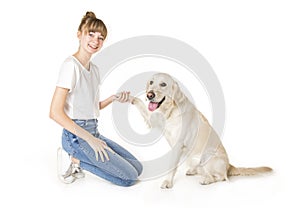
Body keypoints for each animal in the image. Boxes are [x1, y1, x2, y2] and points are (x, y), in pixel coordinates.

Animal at [131, 72, 272, 188]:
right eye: (151, 82)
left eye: (163, 84)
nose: (149, 95)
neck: (170, 110)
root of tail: (229, 165)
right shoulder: (154, 120)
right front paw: (131, 98)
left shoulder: (178, 145)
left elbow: (171, 167)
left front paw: (167, 182)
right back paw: (194, 171)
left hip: (206, 157)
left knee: (220, 177)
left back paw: (206, 180)